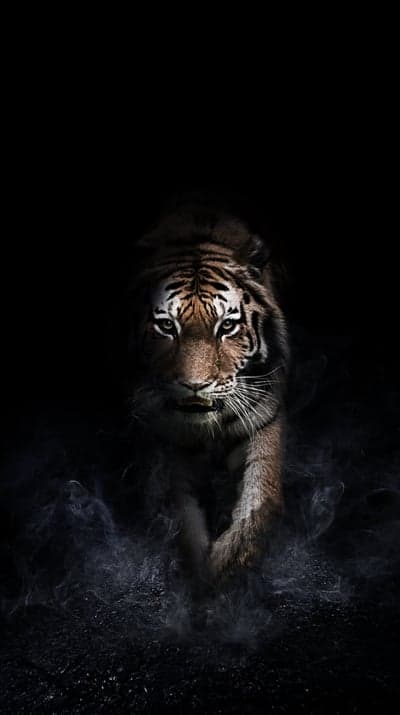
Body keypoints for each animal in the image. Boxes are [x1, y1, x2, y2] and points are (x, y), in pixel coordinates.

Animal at [128, 200, 289, 587]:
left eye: (227, 326)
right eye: (166, 325)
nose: (195, 384)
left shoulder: (263, 418)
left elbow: (260, 498)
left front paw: (226, 566)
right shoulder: (166, 440)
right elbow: (180, 518)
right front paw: (200, 574)